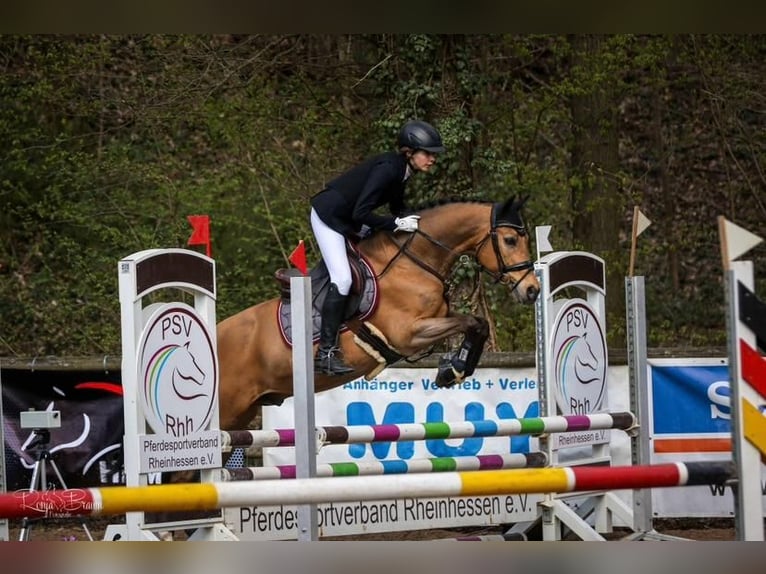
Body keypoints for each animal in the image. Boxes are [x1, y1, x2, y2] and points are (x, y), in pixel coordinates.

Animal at [213, 196, 544, 434]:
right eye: (510, 240)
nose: (532, 290)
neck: (415, 262)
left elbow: (479, 324)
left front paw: (453, 369)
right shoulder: (409, 333)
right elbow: (470, 321)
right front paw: (454, 368)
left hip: (244, 412)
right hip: (229, 412)